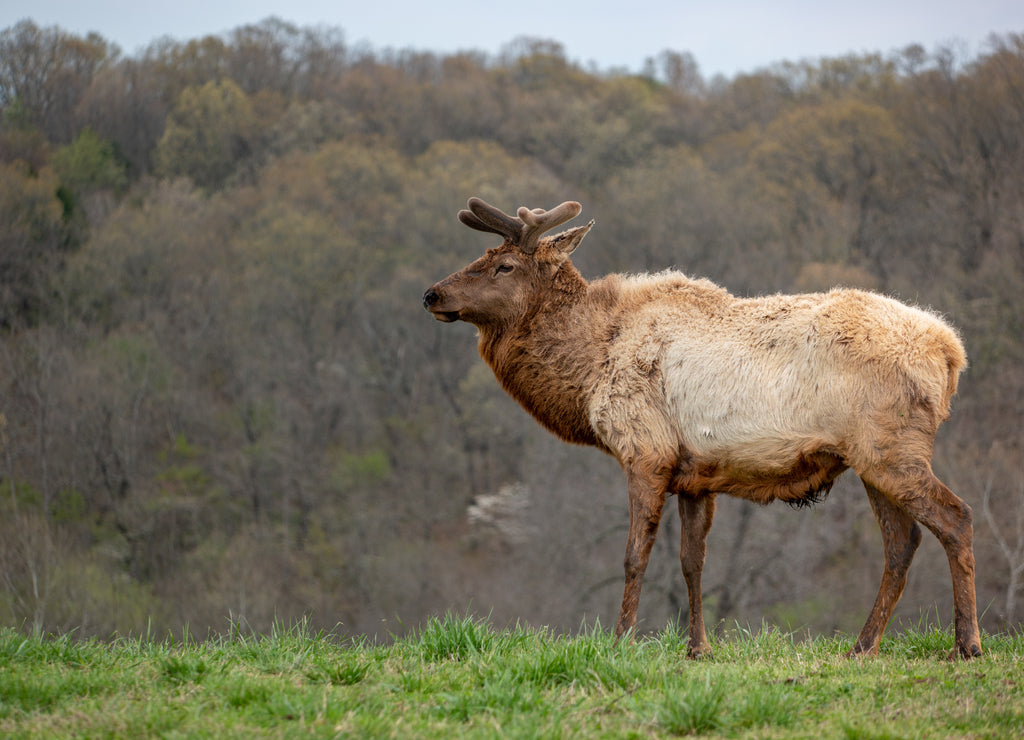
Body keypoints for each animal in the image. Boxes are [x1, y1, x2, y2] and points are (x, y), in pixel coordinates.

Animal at [423, 196, 983, 659]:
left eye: (504, 265)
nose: (431, 294)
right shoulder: (695, 475)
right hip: (870, 459)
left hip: (891, 449)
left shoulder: (645, 451)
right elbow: (693, 561)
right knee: (902, 543)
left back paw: (967, 644)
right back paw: (863, 646)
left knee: (956, 517)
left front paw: (621, 641)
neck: (589, 368)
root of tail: (951, 353)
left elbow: (634, 556)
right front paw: (698, 648)